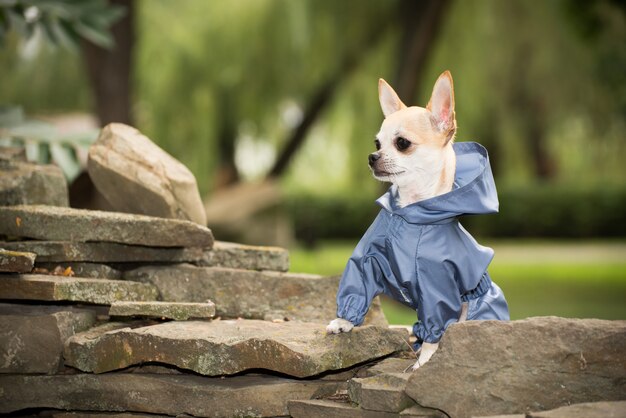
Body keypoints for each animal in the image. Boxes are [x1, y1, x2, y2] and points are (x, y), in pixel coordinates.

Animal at [326, 71, 508, 370]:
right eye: (377, 143)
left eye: (402, 143)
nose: (371, 157)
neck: (411, 214)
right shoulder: (368, 258)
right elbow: (359, 282)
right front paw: (344, 321)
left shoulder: (438, 285)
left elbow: (438, 324)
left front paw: (426, 360)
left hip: (477, 305)